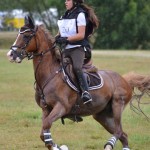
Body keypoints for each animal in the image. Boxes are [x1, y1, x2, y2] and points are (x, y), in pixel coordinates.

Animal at [6, 15, 150, 149]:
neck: (50, 75)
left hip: (117, 105)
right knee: (123, 135)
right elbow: (44, 134)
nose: (11, 55)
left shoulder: (61, 107)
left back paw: (109, 145)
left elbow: (46, 127)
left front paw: (60, 147)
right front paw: (58, 146)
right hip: (102, 116)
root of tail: (124, 79)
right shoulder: (46, 109)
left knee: (119, 131)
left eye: (26, 36)